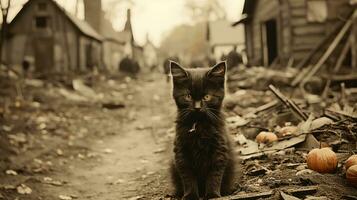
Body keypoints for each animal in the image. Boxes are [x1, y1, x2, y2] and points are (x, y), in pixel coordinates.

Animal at [169, 61, 235, 199]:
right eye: (188, 96)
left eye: (207, 97)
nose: (197, 107)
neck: (199, 126)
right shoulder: (181, 152)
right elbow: (187, 176)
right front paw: (190, 195)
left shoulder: (219, 149)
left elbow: (214, 175)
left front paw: (212, 194)